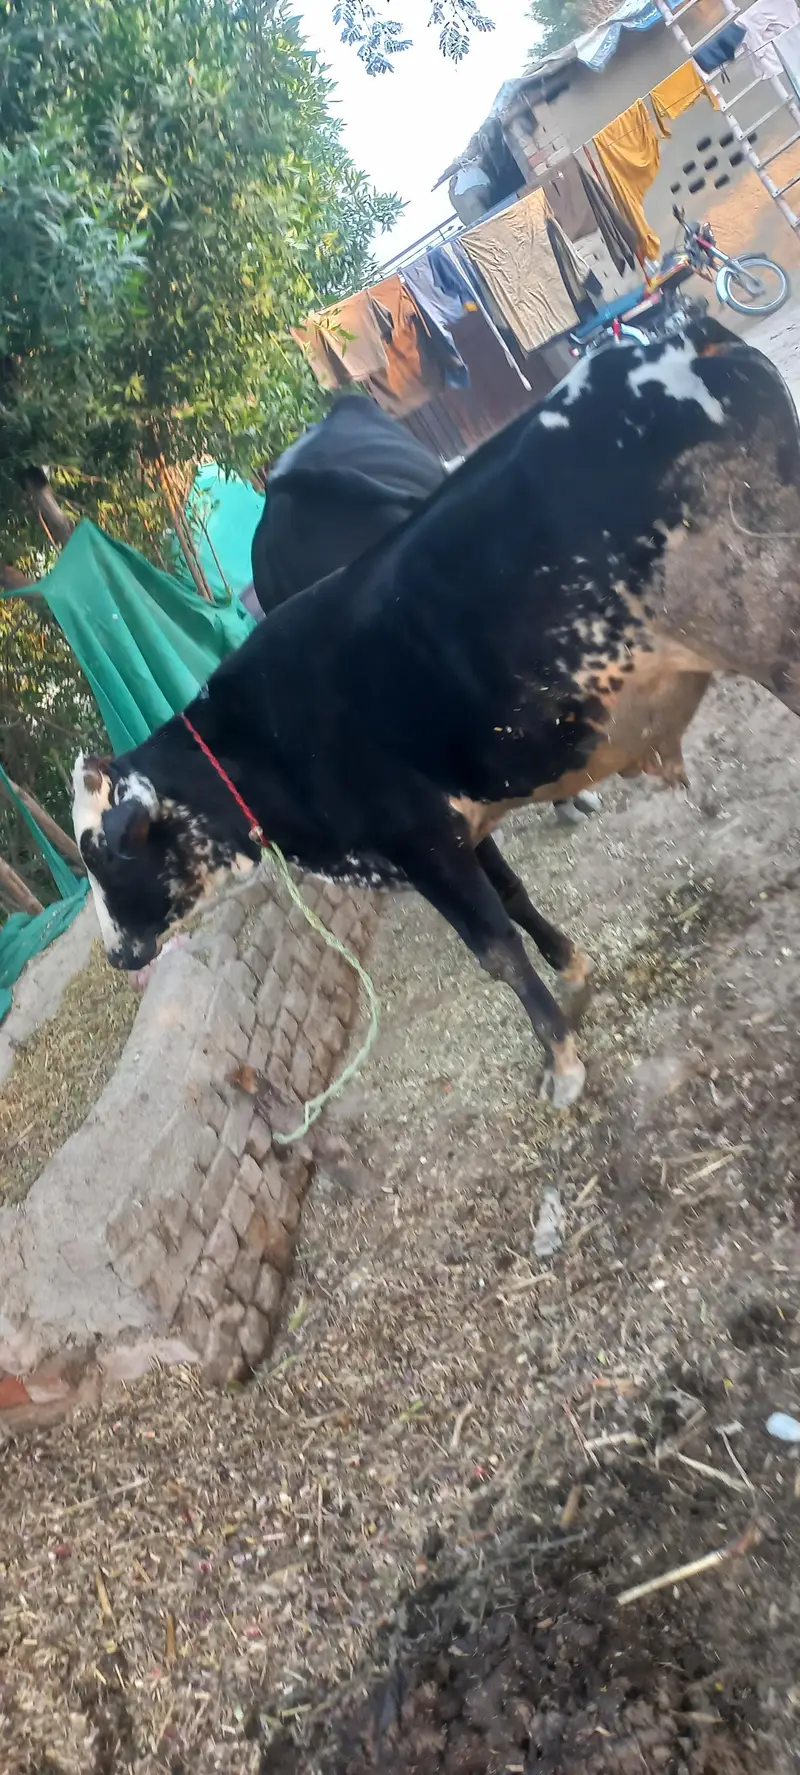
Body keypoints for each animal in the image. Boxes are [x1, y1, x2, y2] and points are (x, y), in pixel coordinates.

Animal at [72, 316, 800, 1109]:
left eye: (101, 850)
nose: (115, 956)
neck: (259, 742)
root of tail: (681, 337)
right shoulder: (456, 824)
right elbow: (513, 896)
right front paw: (573, 968)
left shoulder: (418, 843)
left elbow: (495, 950)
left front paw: (561, 1060)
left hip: (766, 620)